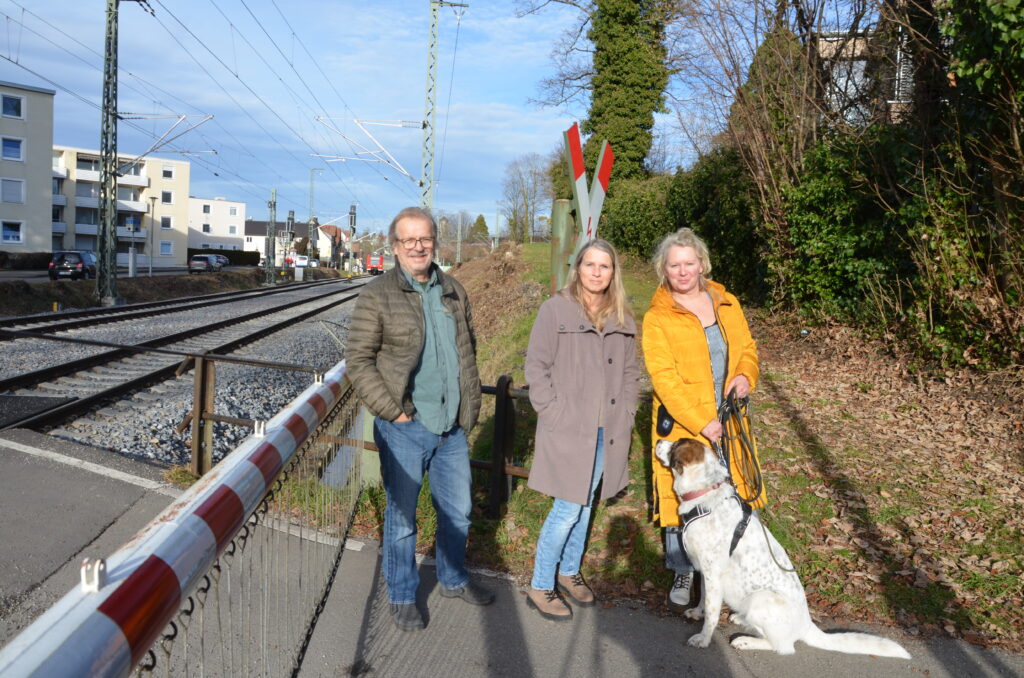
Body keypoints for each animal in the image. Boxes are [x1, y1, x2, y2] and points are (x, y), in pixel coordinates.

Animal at [659, 440, 909, 659]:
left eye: (675, 445)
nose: (659, 441)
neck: (705, 498)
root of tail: (807, 624)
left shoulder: (713, 575)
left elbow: (711, 615)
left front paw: (704, 639)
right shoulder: (705, 572)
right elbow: (703, 599)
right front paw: (697, 613)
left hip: (761, 599)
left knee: (784, 647)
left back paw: (745, 641)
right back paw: (741, 619)